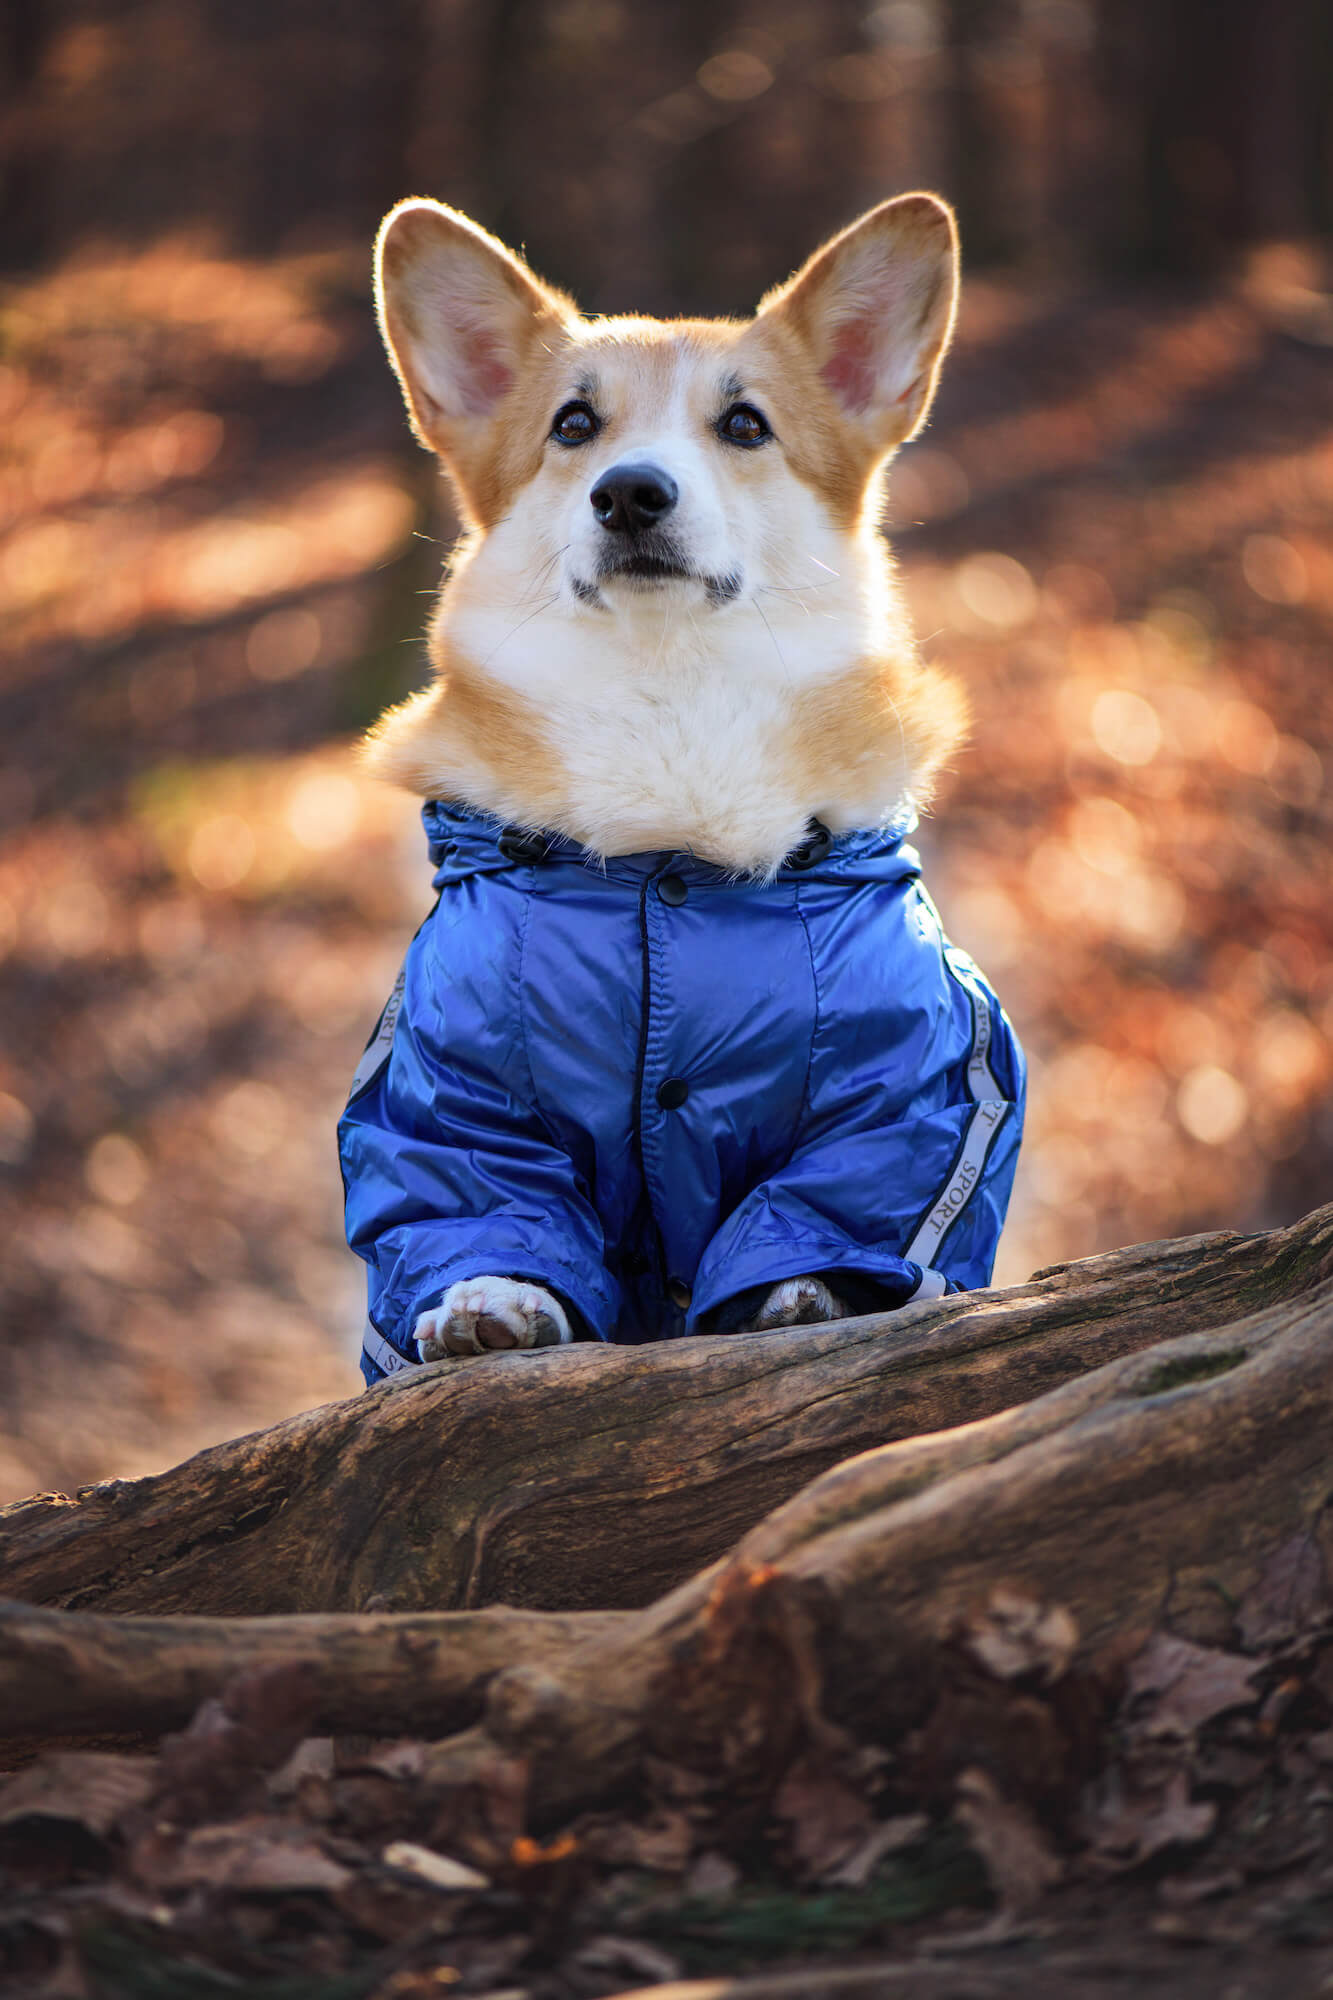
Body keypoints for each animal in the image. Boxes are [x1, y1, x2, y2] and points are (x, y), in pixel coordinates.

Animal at [338, 191, 1020, 1376]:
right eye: (573, 426)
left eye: (745, 426)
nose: (630, 494)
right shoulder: (454, 1088)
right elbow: (477, 1199)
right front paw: (489, 1300)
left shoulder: (908, 1089)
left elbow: (833, 1201)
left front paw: (806, 1290)